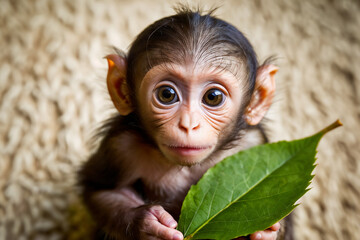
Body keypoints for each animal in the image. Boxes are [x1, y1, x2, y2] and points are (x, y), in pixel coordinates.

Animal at [79, 6, 286, 239]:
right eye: (167, 94)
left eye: (213, 97)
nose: (188, 124)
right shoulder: (120, 146)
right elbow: (101, 191)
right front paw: (147, 223)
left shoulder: (255, 143)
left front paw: (266, 231)